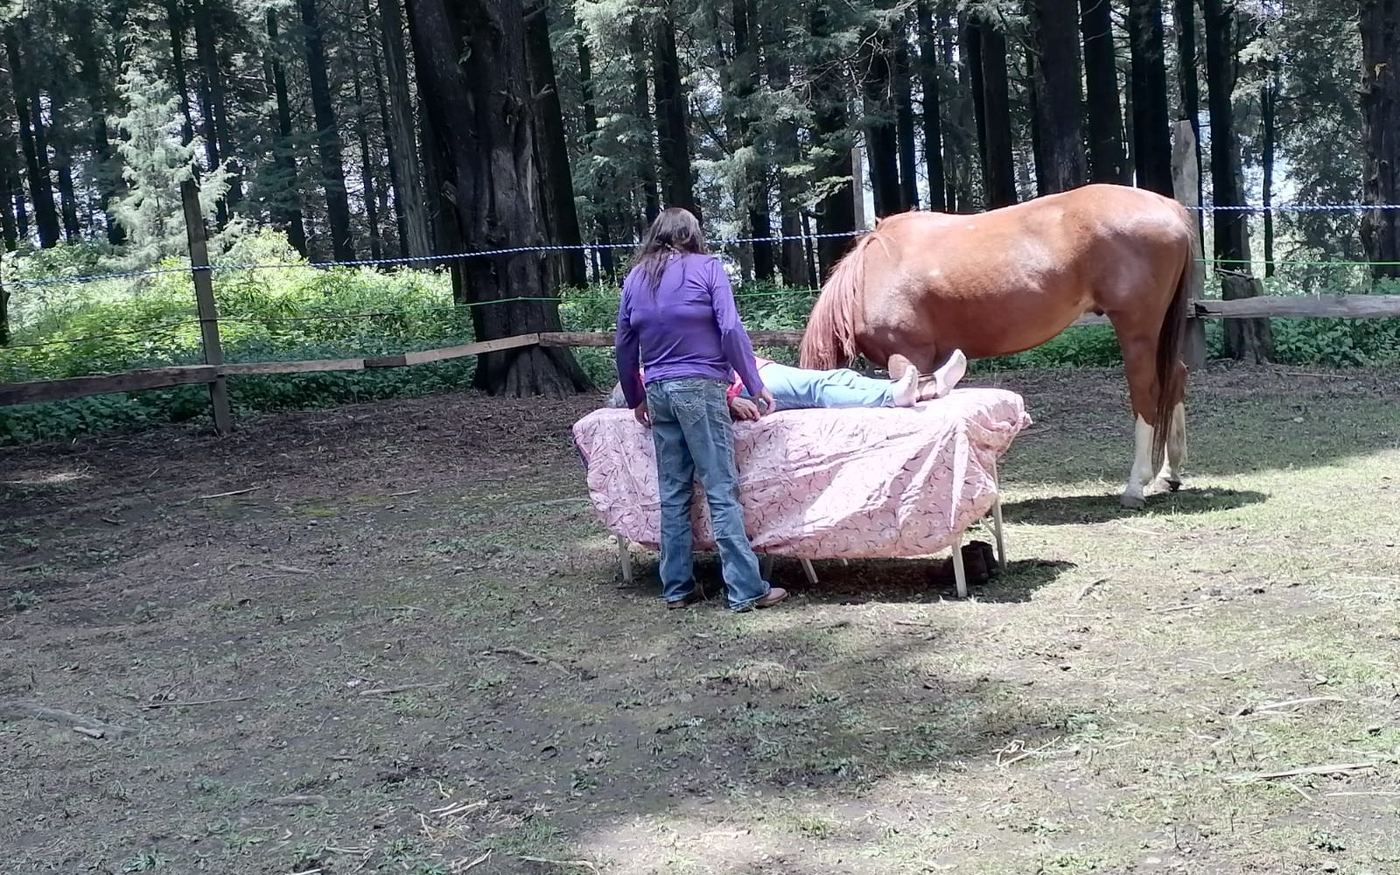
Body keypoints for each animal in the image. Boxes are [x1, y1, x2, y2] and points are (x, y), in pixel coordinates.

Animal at [799, 183, 1196, 508]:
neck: (871, 273)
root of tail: (1168, 206)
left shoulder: (907, 357)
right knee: (1175, 377)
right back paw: (1169, 475)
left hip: (1137, 329)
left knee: (1147, 392)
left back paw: (1136, 486)